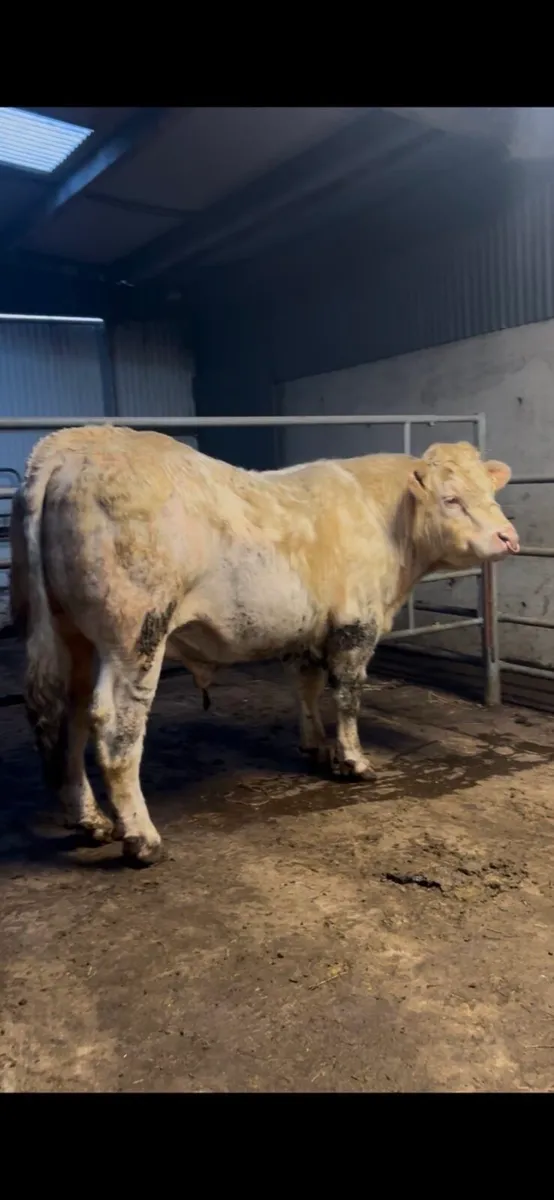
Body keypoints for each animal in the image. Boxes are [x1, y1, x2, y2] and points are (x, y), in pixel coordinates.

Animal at [9, 426, 518, 867]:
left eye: (491, 494)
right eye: (451, 499)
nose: (508, 538)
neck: (384, 520)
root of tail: (71, 445)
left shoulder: (310, 629)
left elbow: (308, 688)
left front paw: (316, 746)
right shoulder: (356, 623)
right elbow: (348, 695)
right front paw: (353, 761)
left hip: (69, 633)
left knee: (69, 715)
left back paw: (88, 819)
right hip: (135, 633)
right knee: (116, 726)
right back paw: (141, 837)